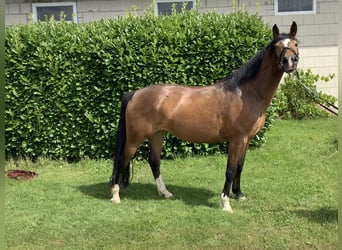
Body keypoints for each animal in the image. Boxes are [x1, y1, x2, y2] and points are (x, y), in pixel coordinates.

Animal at [110, 22, 300, 213]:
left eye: (295, 44)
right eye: (276, 46)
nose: (290, 61)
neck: (246, 93)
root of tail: (135, 94)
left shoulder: (247, 139)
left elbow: (240, 166)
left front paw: (238, 194)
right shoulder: (237, 139)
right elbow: (231, 170)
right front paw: (225, 202)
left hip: (157, 134)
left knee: (154, 161)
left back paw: (165, 192)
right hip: (135, 138)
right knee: (121, 159)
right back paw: (115, 195)